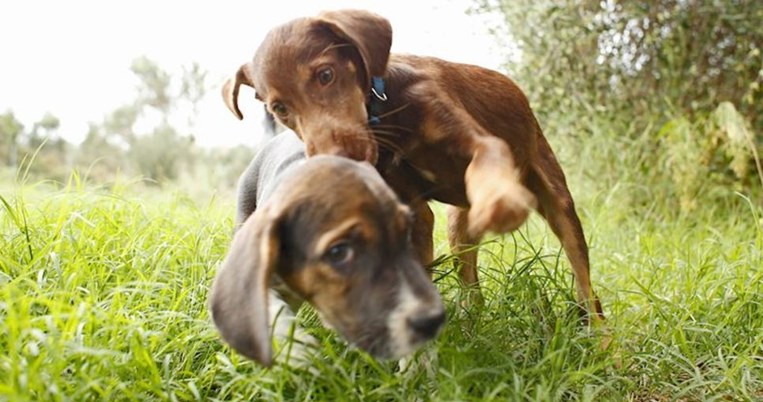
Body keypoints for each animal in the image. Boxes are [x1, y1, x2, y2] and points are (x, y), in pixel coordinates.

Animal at [224, 9, 604, 322]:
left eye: (326, 74)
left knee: (587, 289)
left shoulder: (481, 142)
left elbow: (484, 166)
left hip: (557, 198)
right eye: (280, 108)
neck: (388, 109)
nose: (335, 159)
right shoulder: (413, 208)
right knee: (472, 288)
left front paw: (501, 203)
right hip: (458, 227)